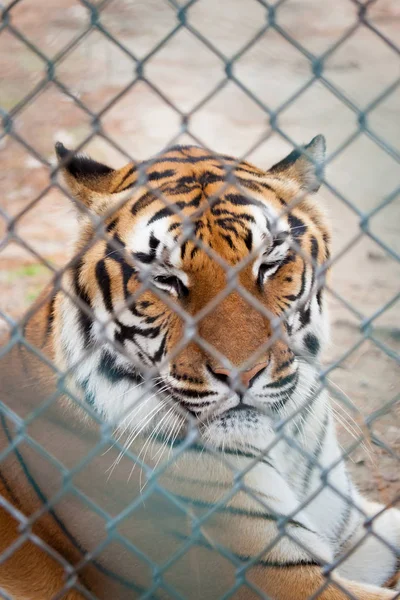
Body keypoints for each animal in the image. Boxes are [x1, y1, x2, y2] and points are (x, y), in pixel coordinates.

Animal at [0, 137, 398, 600]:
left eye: (269, 263)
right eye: (165, 279)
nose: (241, 375)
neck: (285, 444)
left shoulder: (353, 529)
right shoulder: (274, 574)